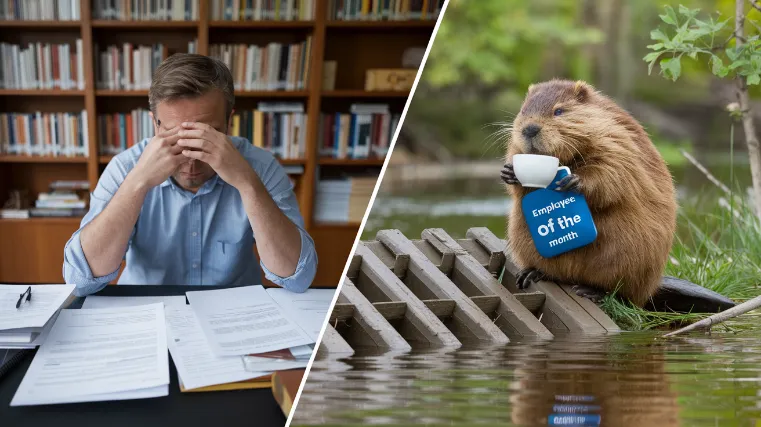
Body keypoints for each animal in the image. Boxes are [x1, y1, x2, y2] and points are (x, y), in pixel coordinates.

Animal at [498, 80, 676, 308]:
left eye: (558, 111)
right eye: (523, 110)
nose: (529, 129)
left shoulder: (617, 138)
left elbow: (612, 170)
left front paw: (574, 181)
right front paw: (509, 172)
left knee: (621, 291)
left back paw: (591, 291)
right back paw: (531, 274)